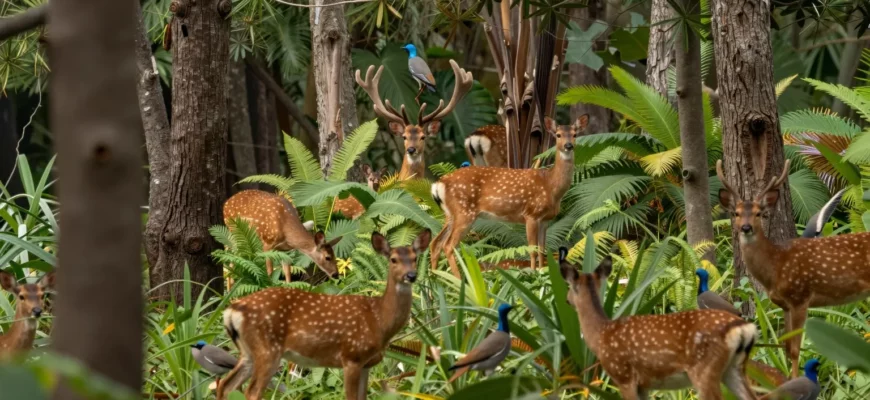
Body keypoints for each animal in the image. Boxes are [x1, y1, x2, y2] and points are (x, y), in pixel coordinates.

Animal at [215, 229, 432, 400]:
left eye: (415, 258)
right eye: (393, 259)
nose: (411, 275)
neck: (379, 319)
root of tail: (230, 311)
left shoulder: (367, 364)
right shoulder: (351, 356)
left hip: (247, 352)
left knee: (225, 385)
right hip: (267, 350)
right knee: (251, 392)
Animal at [429, 115, 588, 277]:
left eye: (575, 134)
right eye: (558, 135)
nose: (568, 145)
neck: (550, 186)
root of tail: (438, 184)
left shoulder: (545, 220)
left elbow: (542, 251)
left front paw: (541, 273)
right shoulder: (531, 214)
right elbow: (532, 250)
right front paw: (533, 274)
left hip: (450, 214)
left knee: (435, 243)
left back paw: (435, 279)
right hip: (464, 212)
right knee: (448, 245)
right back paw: (458, 280)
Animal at [559, 249, 758, 400]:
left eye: (569, 286)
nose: (566, 300)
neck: (600, 335)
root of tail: (745, 329)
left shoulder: (623, 376)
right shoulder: (643, 385)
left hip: (704, 369)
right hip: (734, 369)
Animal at [716, 158, 870, 378]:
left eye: (758, 213)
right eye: (735, 213)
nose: (746, 228)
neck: (776, 265)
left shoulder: (800, 298)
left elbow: (796, 350)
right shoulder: (785, 305)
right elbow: (787, 348)